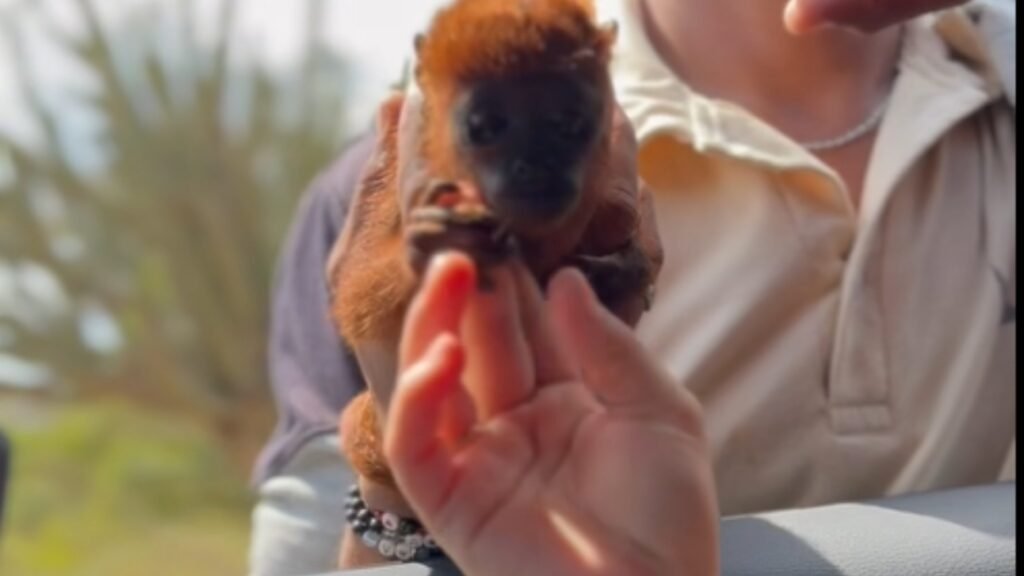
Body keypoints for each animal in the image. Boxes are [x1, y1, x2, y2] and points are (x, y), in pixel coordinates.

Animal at [328, 0, 662, 491]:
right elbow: (358, 295)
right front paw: (435, 246)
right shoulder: (400, 181)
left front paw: (624, 269)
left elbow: (619, 223)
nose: (536, 165)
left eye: (568, 124)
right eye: (485, 126)